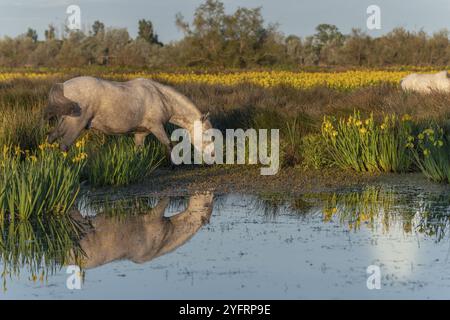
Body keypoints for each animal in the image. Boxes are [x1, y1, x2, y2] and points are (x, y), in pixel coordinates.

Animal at [44, 75, 213, 154]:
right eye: (208, 135)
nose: (212, 155)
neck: (162, 97)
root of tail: (63, 85)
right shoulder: (156, 127)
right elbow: (169, 145)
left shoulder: (141, 133)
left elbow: (138, 151)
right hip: (75, 125)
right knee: (64, 145)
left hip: (64, 122)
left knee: (52, 138)